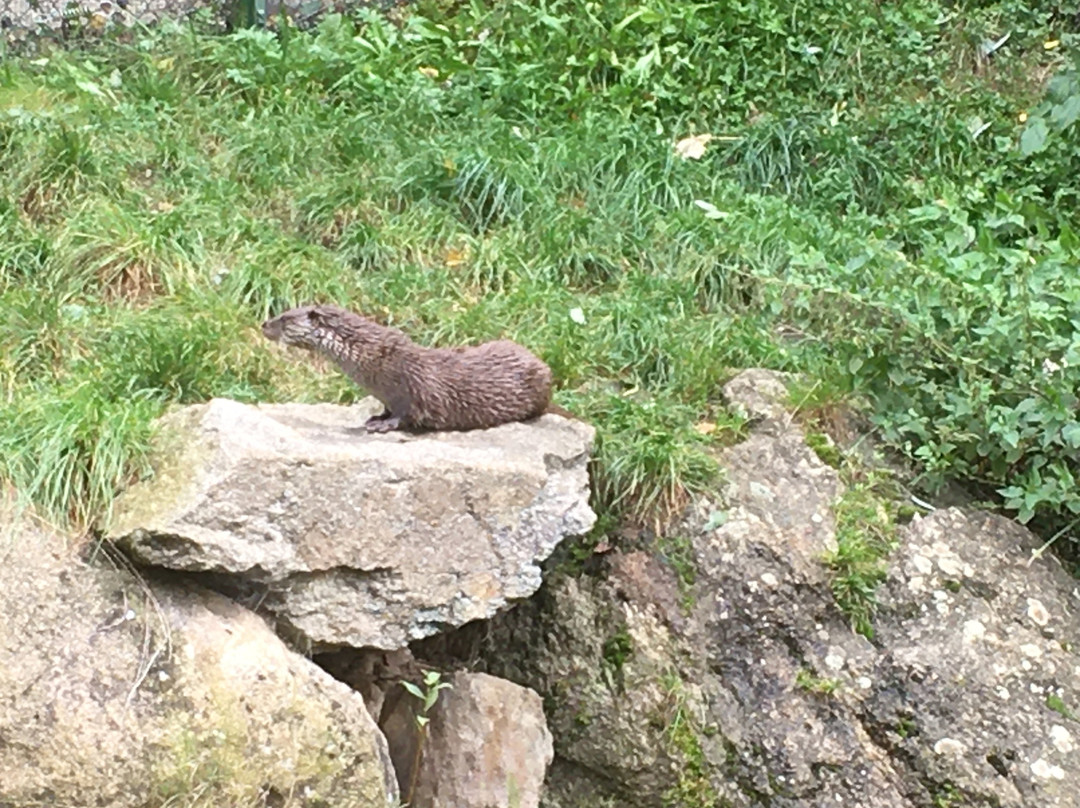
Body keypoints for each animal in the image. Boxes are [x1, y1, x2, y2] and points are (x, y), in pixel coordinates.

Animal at [258, 302, 552, 432]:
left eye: (284, 317)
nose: (263, 324)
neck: (372, 361)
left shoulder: (413, 386)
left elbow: (409, 413)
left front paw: (384, 425)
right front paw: (377, 417)